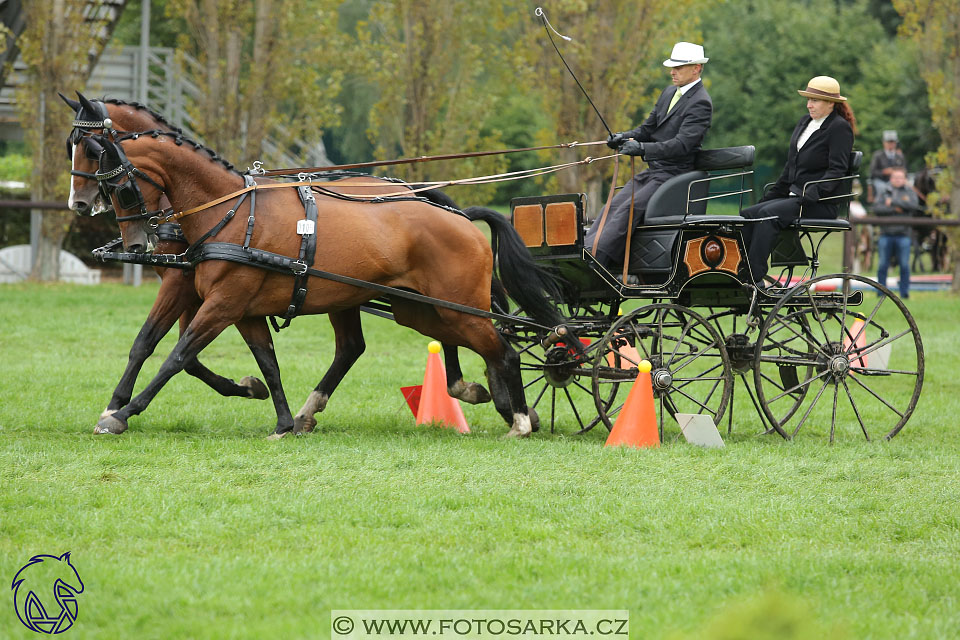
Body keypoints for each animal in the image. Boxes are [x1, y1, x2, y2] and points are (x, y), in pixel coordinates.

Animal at [84, 128, 564, 438]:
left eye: (121, 189)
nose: (137, 242)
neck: (231, 213)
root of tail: (462, 218)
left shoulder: (221, 303)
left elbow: (177, 356)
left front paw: (122, 413)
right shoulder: (239, 307)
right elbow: (265, 362)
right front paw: (282, 422)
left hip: (453, 307)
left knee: (503, 347)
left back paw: (520, 420)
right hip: (422, 310)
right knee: (481, 344)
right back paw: (501, 403)